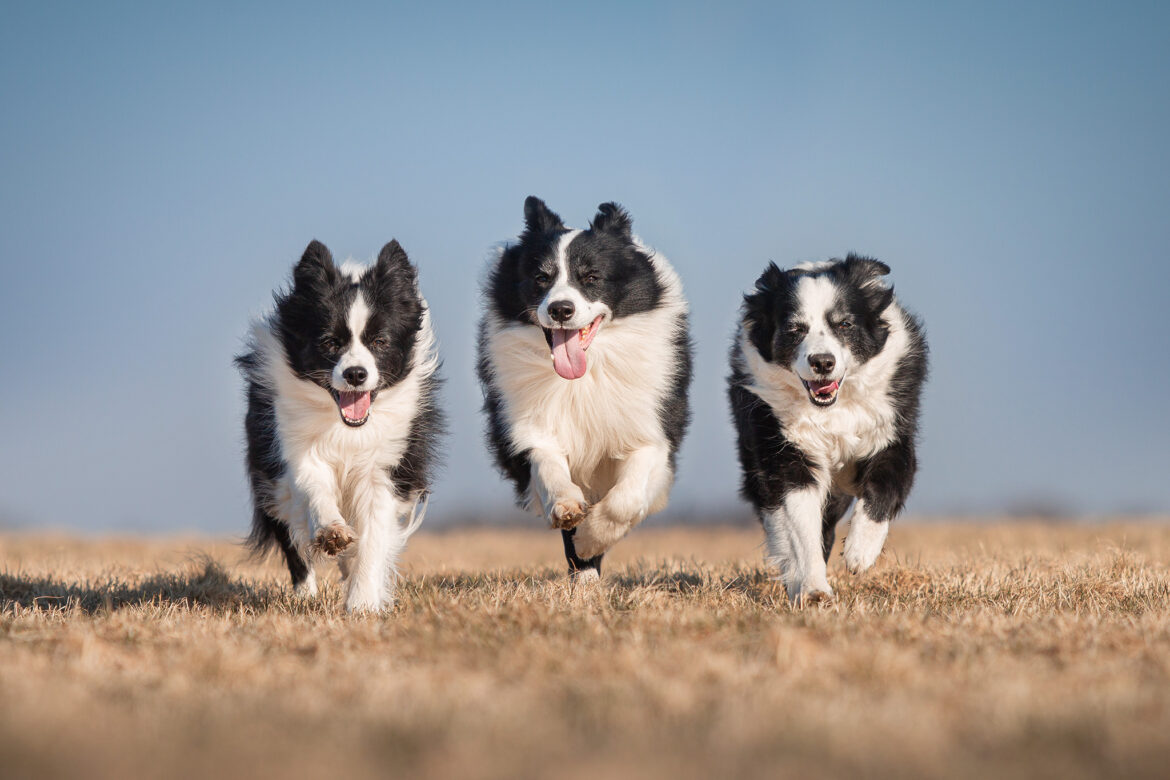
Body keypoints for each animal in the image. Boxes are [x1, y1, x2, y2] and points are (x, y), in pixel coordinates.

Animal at [237, 238, 442, 608]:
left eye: (380, 342)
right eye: (330, 342)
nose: (356, 374)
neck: (346, 426)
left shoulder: (385, 465)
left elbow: (373, 534)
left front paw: (362, 603)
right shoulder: (291, 446)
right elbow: (314, 487)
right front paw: (331, 532)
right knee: (293, 542)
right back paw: (305, 593)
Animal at [477, 198, 687, 577]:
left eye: (591, 277)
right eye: (541, 278)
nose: (560, 309)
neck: (583, 376)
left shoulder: (652, 431)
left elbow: (626, 499)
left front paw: (591, 539)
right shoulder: (525, 425)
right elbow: (546, 462)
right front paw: (567, 508)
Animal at [725, 256, 926, 603]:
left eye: (844, 324)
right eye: (794, 328)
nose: (822, 362)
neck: (832, 409)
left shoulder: (892, 432)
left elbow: (885, 487)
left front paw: (860, 552)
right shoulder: (785, 451)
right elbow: (800, 527)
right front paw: (813, 589)